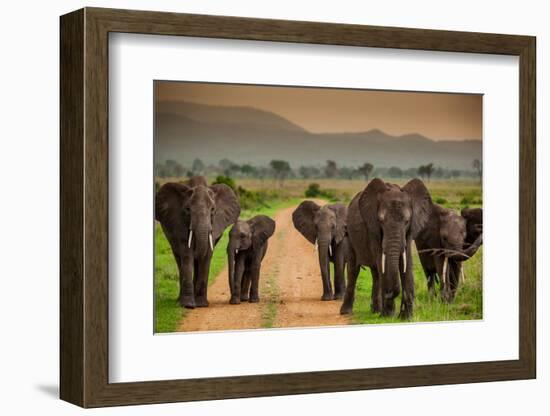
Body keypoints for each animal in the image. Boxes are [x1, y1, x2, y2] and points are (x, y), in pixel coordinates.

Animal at [156, 176, 240, 308]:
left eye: (213, 209)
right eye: (187, 209)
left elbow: (206, 256)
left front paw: (201, 304)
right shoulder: (179, 222)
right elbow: (187, 254)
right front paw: (188, 305)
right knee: (179, 259)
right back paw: (179, 301)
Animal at [340, 179, 436, 318]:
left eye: (407, 221)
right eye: (381, 221)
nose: (389, 292)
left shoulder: (409, 231)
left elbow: (407, 264)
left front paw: (406, 317)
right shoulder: (374, 230)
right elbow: (382, 262)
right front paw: (388, 315)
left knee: (376, 273)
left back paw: (376, 311)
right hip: (350, 236)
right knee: (354, 270)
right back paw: (346, 312)